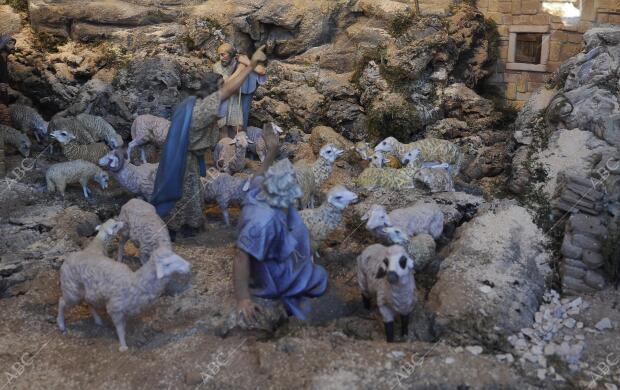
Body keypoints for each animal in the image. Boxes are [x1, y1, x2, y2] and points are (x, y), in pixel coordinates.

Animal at [57, 245, 191, 352]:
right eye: (167, 264)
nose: (189, 266)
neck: (134, 283)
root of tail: (69, 258)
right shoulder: (115, 308)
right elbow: (120, 329)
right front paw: (123, 346)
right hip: (72, 290)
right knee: (61, 302)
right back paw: (61, 325)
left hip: (88, 291)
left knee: (89, 302)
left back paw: (98, 320)